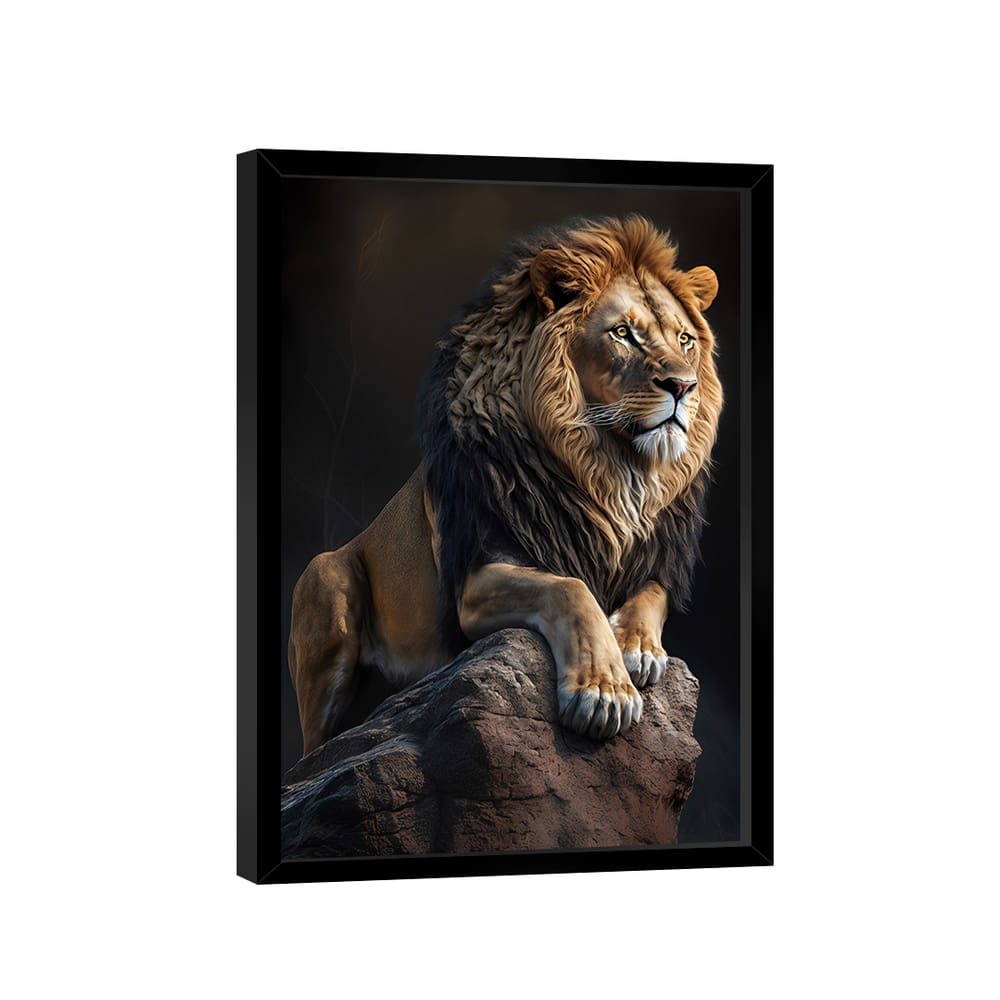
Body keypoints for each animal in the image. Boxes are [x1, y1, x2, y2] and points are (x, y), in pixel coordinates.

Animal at [288, 215, 722, 755]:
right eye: (623, 333)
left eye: (685, 340)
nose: (684, 386)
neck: (611, 471)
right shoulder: (475, 579)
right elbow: (571, 588)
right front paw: (604, 692)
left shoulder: (655, 558)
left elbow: (650, 598)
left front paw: (638, 647)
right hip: (324, 580)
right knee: (313, 751)